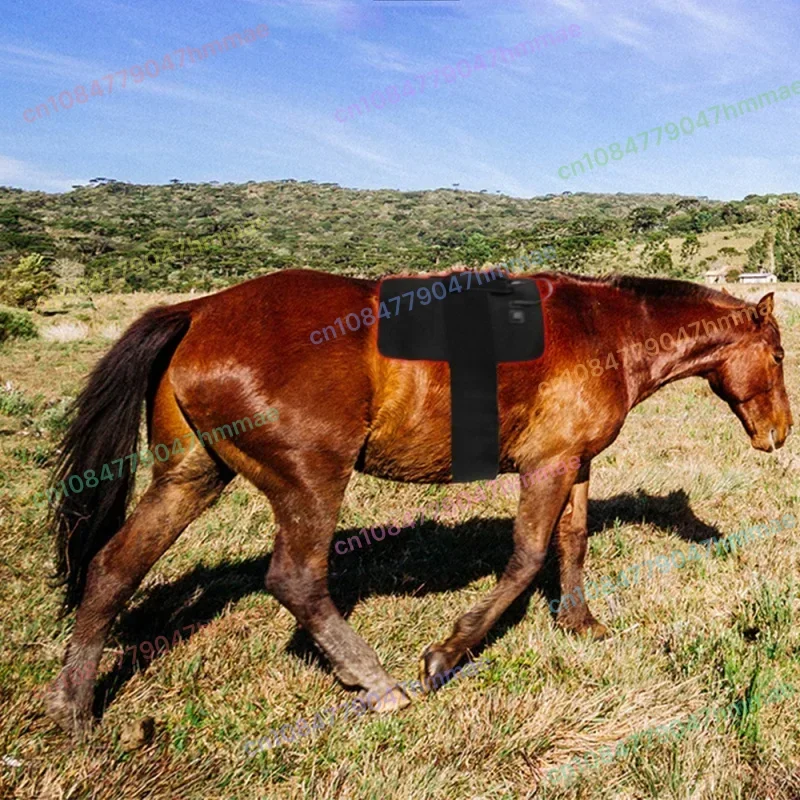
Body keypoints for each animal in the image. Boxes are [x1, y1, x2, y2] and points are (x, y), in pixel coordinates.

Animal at [43, 268, 792, 736]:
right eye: (781, 356)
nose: (779, 434)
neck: (603, 330)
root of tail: (199, 310)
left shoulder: (574, 462)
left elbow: (572, 543)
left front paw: (580, 623)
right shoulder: (546, 467)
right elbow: (526, 558)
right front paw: (449, 652)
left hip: (191, 477)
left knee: (113, 569)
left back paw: (75, 710)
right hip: (309, 479)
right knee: (296, 580)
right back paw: (376, 682)